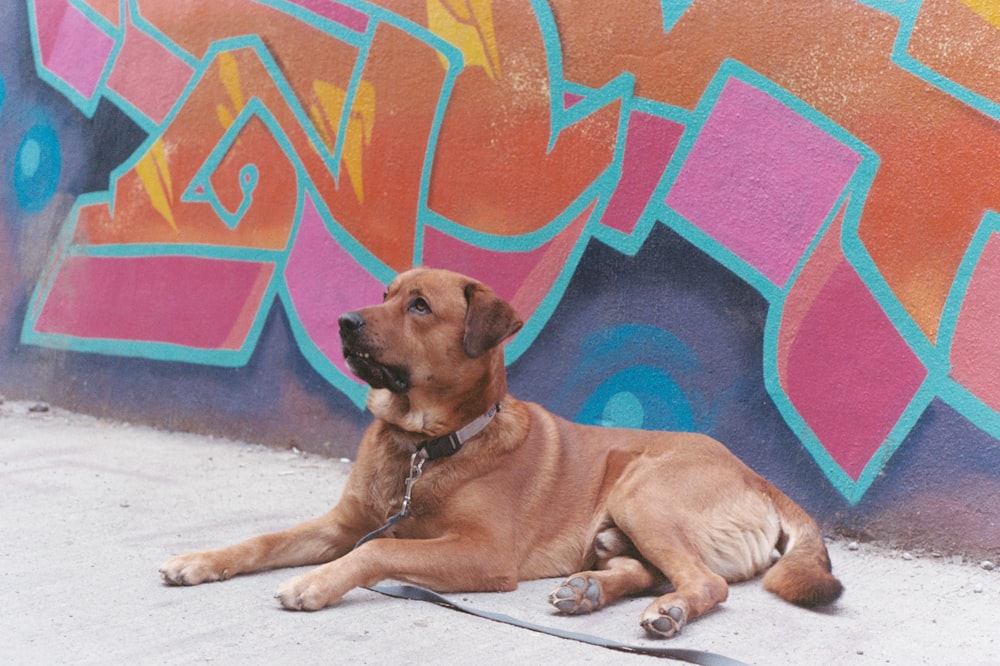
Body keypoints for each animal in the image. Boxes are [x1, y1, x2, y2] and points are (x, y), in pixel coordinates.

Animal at [162, 264, 844, 632]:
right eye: (385, 294)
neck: (423, 445)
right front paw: (200, 560)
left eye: (418, 306)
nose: (343, 322)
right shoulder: (341, 524)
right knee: (645, 568)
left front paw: (318, 583)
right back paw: (589, 590)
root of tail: (758, 477)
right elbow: (264, 540)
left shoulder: (483, 553)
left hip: (644, 492)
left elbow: (378, 550)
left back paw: (668, 613)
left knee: (707, 583)